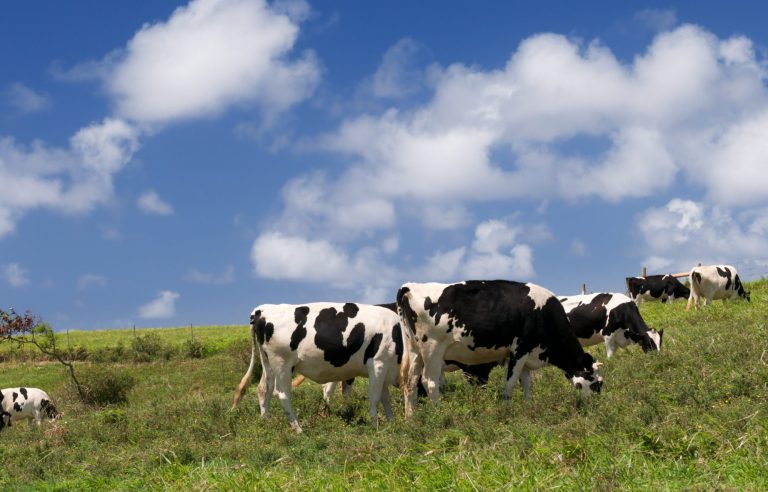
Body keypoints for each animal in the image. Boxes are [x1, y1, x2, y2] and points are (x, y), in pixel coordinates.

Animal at [232, 302, 402, 432]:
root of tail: (262, 310)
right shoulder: (378, 364)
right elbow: (375, 398)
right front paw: (376, 428)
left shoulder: (384, 371)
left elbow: (385, 398)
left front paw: (392, 422)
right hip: (282, 364)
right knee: (282, 394)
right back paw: (298, 429)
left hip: (268, 363)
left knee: (263, 389)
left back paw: (266, 421)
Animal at [396, 280, 608, 416]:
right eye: (596, 382)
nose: (598, 406)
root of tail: (409, 286)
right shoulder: (519, 350)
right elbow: (511, 383)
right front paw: (507, 408)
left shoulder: (527, 356)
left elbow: (527, 383)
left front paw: (528, 405)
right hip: (432, 348)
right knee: (429, 382)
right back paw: (438, 414)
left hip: (414, 350)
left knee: (410, 381)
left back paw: (411, 418)